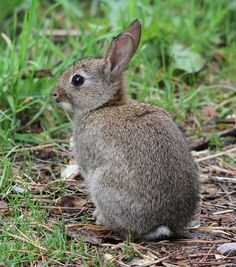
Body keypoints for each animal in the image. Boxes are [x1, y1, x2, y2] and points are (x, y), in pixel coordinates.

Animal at [51, 18, 199, 241]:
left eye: (77, 80)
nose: (55, 94)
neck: (103, 105)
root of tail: (162, 224)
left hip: (104, 184)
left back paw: (101, 218)